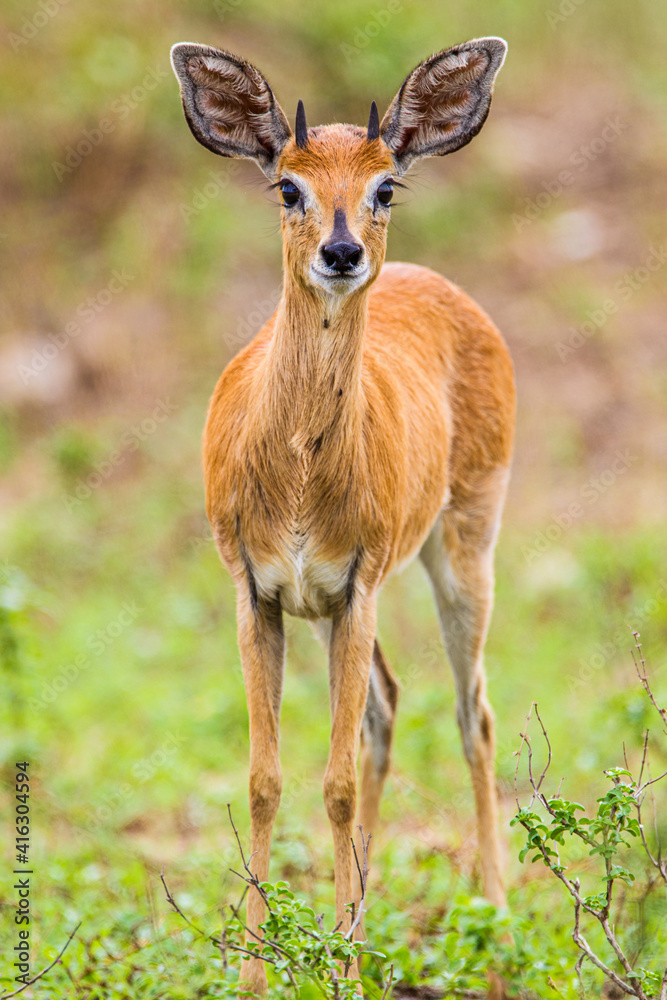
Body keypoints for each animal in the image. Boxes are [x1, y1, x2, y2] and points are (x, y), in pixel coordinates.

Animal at [170, 37, 516, 992]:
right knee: (388, 709)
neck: (294, 474)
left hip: (461, 545)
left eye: (385, 185)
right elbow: (265, 779)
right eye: (287, 185)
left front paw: (337, 969)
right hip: (338, 607)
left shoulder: (355, 584)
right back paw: (361, 925)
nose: (341, 249)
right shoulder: (260, 591)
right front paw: (261, 971)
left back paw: (494, 924)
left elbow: (334, 782)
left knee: (471, 712)